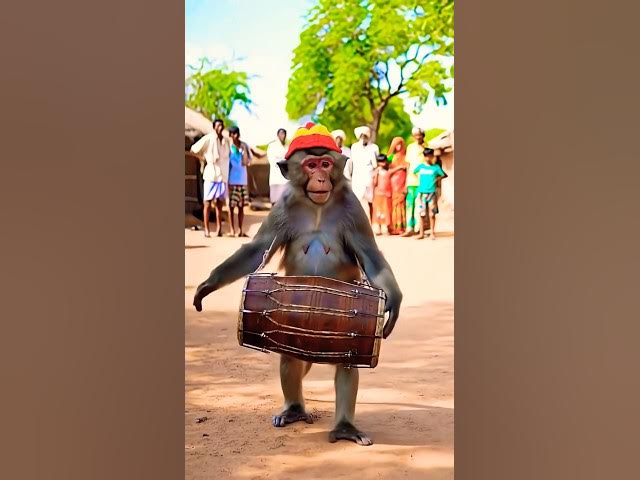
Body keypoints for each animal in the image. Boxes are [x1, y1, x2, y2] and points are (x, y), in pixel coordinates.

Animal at [193, 123, 402, 446]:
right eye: (311, 165)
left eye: (326, 164)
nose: (320, 178)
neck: (317, 205)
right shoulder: (282, 207)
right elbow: (257, 249)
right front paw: (207, 286)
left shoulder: (354, 209)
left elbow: (371, 255)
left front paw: (394, 302)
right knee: (291, 359)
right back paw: (293, 409)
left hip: (350, 343)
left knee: (346, 366)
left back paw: (344, 427)